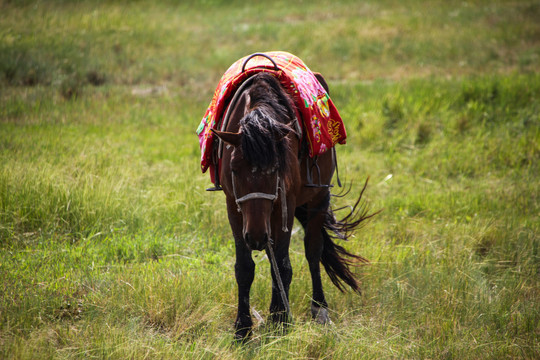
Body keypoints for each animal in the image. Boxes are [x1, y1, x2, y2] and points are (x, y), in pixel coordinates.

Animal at [212, 70, 376, 340]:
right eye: (234, 169)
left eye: (276, 168)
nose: (255, 237)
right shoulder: (233, 208)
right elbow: (244, 268)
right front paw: (243, 328)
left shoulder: (284, 207)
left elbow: (282, 265)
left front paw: (280, 320)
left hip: (317, 199)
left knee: (313, 250)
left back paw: (319, 309)